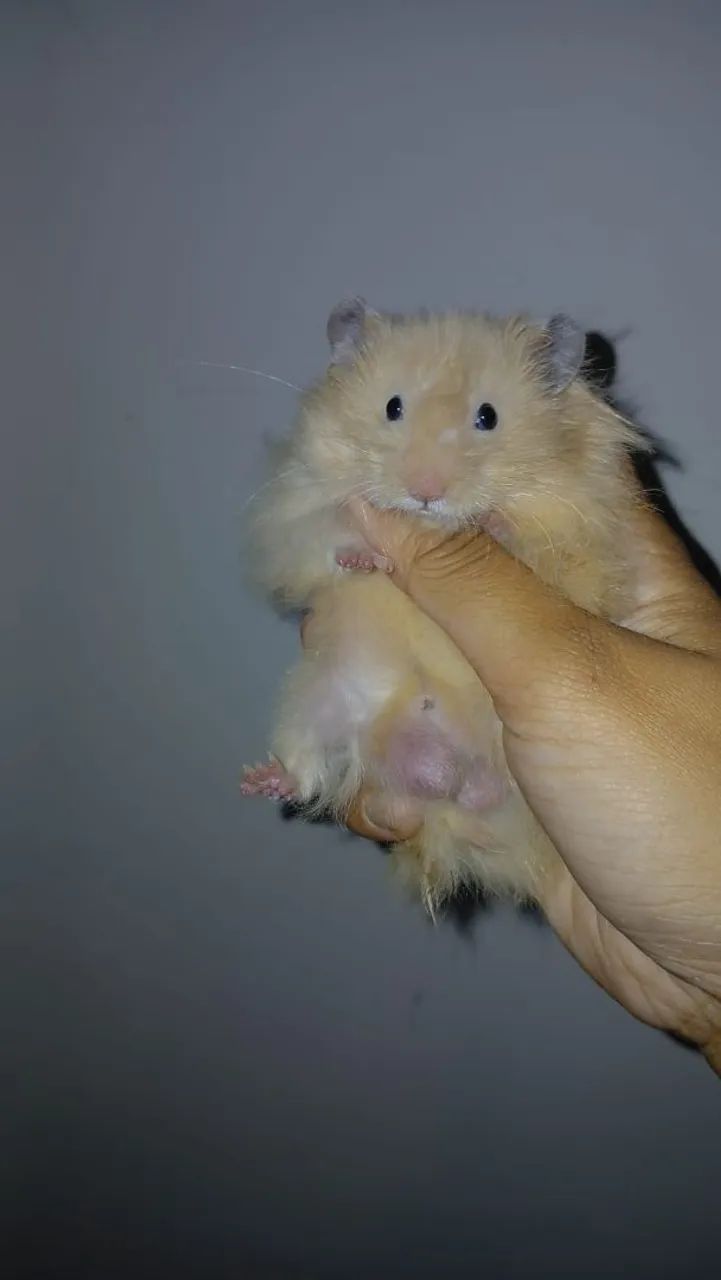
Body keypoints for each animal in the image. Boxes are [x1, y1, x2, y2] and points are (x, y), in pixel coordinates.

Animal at [242, 299, 646, 913]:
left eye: (488, 417)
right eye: (393, 407)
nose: (424, 491)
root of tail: (444, 782)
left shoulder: (584, 529)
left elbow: (540, 551)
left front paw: (491, 526)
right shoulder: (297, 504)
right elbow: (326, 531)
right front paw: (365, 559)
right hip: (317, 698)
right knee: (308, 765)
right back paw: (262, 780)